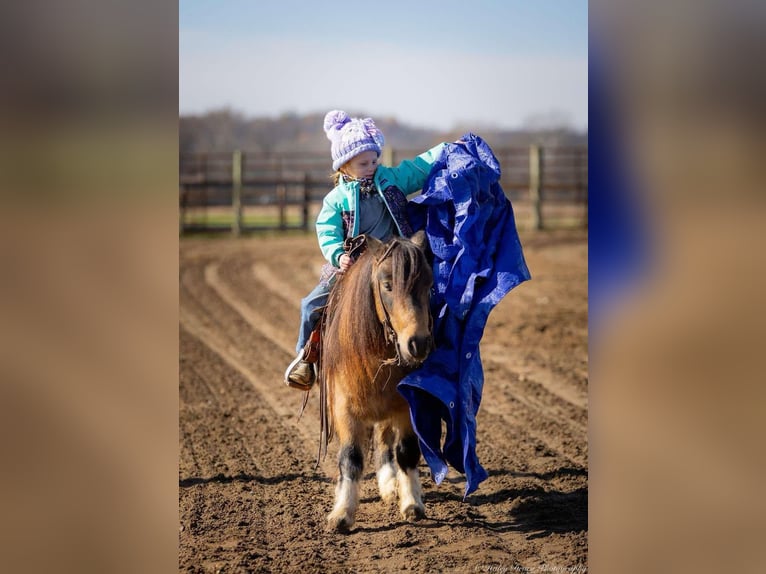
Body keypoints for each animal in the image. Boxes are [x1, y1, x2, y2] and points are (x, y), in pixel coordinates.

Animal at [318, 231, 436, 536]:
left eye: (428, 284)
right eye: (387, 285)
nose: (418, 343)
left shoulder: (406, 406)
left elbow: (406, 452)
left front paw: (412, 503)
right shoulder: (344, 409)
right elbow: (351, 458)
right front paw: (342, 514)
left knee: (384, 443)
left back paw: (390, 485)